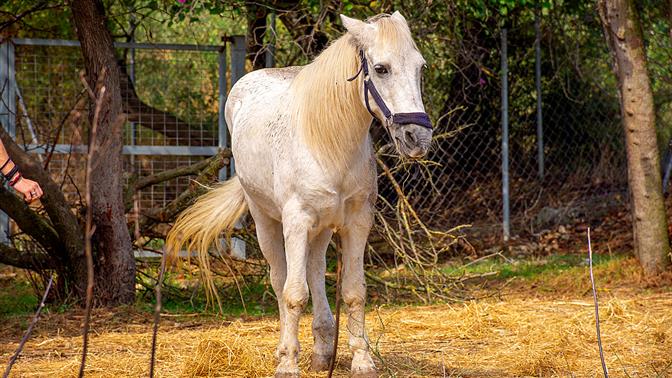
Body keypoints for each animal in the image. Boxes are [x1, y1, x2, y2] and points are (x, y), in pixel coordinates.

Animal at [165, 12, 434, 378]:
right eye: (381, 68)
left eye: (420, 67)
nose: (417, 138)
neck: (328, 142)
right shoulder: (296, 223)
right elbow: (293, 294)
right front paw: (288, 364)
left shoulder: (356, 223)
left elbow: (353, 291)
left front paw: (362, 361)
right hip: (266, 222)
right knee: (281, 281)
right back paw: (286, 349)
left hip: (321, 230)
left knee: (316, 272)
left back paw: (322, 351)